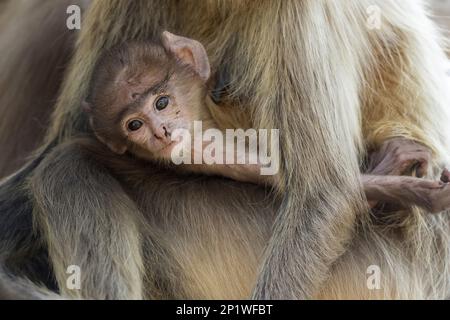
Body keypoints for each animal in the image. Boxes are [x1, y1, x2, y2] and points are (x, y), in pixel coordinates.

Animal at [83, 31, 450, 214]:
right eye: (134, 125)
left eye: (162, 102)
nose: (160, 132)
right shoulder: (203, 151)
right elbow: (336, 191)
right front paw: (412, 184)